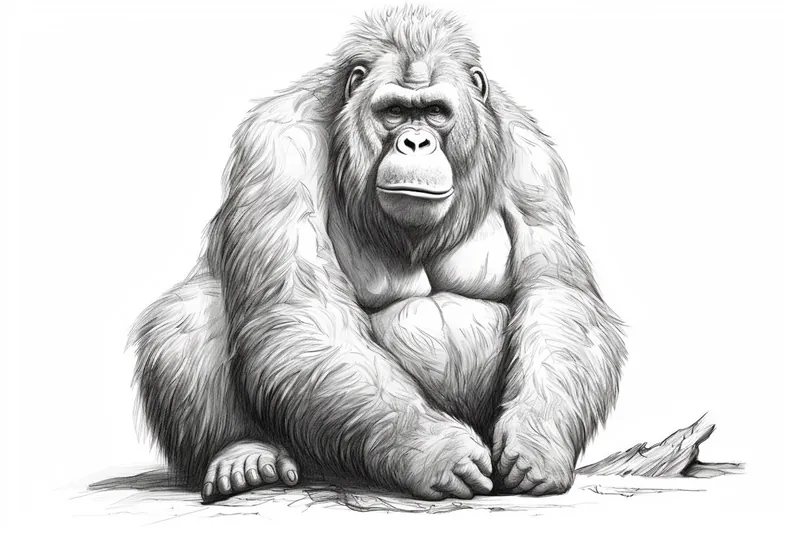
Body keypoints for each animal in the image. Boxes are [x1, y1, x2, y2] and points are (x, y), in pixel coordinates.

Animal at [129, 5, 625, 502]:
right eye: (395, 112)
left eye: (434, 112)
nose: (416, 142)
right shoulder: (276, 146)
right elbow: (302, 310)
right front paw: (438, 451)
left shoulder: (532, 158)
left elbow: (556, 294)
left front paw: (537, 444)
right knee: (190, 310)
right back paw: (243, 453)